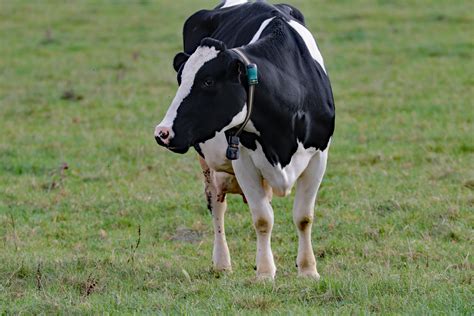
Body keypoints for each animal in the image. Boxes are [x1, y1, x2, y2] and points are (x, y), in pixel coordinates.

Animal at [155, 0, 334, 282]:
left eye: (207, 81)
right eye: (180, 79)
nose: (162, 132)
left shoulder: (319, 155)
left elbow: (303, 217)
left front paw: (308, 269)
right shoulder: (243, 161)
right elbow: (262, 219)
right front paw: (265, 272)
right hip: (206, 161)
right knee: (217, 206)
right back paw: (222, 263)